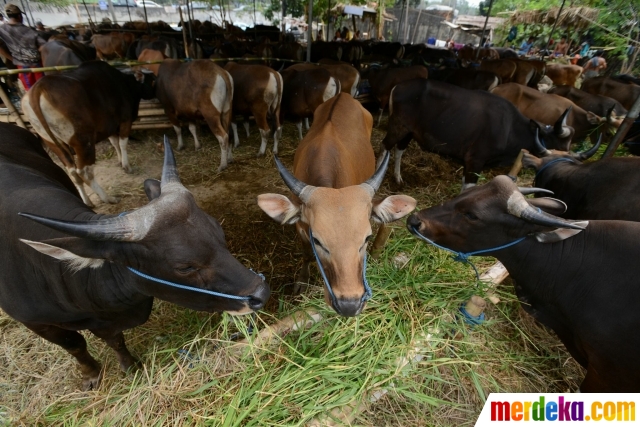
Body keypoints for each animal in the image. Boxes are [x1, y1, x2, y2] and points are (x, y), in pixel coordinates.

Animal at [21, 60, 156, 207]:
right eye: (153, 80)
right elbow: (123, 143)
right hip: (83, 141)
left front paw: (120, 161)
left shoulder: (109, 128)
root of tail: (38, 88)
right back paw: (108, 198)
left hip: (53, 143)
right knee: (84, 172)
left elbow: (115, 144)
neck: (124, 82)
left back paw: (87, 201)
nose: (155, 93)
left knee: (72, 172)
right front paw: (127, 166)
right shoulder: (125, 120)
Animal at [258, 95, 418, 320]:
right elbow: (307, 254)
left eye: (366, 238)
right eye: (318, 240)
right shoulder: (300, 227)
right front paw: (302, 281)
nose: (349, 305)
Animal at [380, 80, 576, 187]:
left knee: (399, 149)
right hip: (398, 126)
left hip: (409, 132)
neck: (510, 128)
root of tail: (397, 87)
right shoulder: (476, 160)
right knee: (385, 146)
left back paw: (398, 178)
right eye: (559, 142)